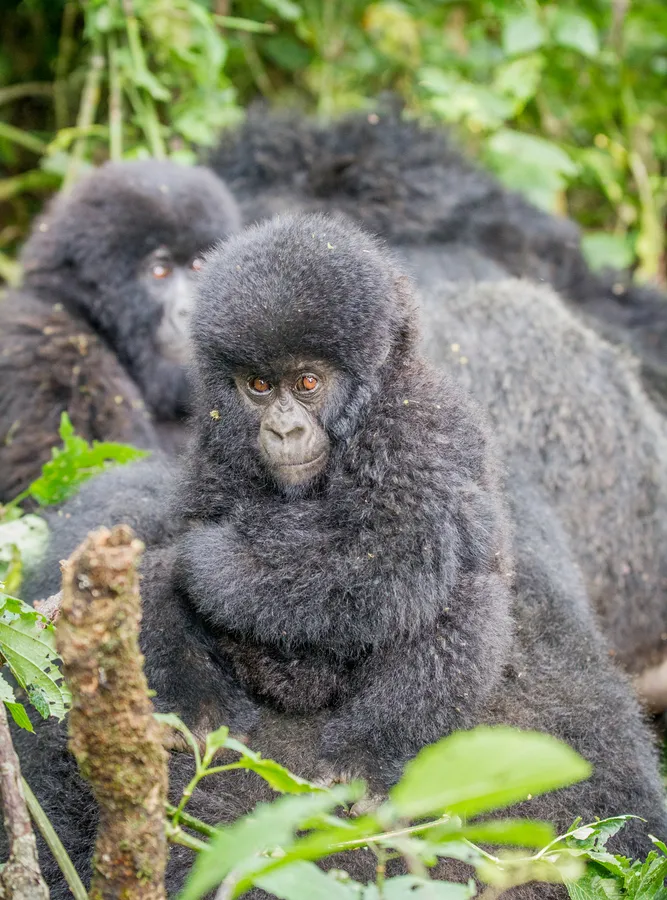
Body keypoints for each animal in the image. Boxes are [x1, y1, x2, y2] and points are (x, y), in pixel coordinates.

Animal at [12, 213, 667, 899]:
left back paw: (369, 757)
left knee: (453, 591)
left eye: (308, 383)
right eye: (258, 385)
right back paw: (197, 709)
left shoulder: (420, 426)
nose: (283, 429)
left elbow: (387, 551)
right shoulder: (215, 440)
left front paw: (199, 562)